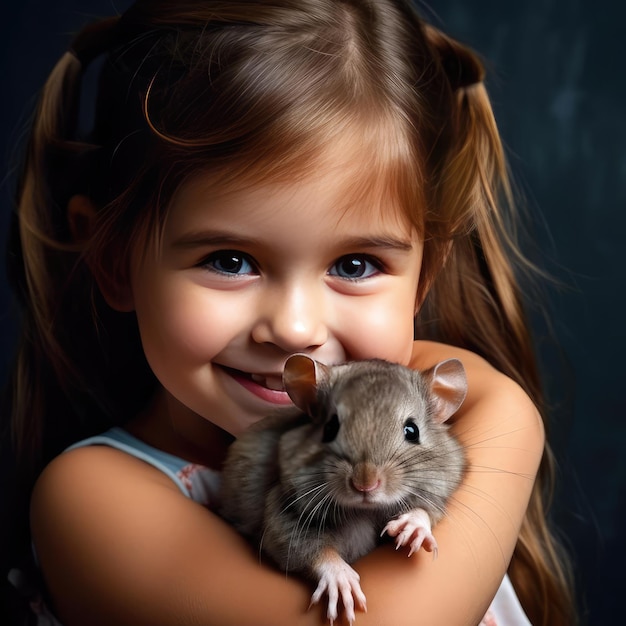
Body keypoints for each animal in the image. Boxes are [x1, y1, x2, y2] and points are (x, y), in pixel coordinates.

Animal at [217, 354, 466, 620]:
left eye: (412, 431)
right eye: (330, 428)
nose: (365, 485)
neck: (364, 510)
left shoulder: (438, 489)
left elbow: (427, 509)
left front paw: (412, 528)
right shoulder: (284, 511)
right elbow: (315, 551)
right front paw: (343, 585)